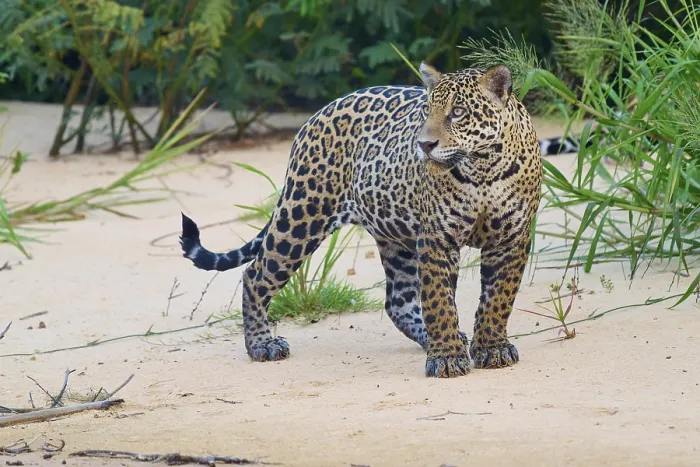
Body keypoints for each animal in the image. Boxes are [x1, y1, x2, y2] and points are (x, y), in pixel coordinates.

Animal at [179, 62, 542, 378]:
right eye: (427, 112)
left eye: (458, 112)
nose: (424, 144)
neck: (484, 169)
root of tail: (315, 116)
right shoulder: (438, 237)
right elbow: (439, 299)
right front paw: (447, 357)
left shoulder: (512, 238)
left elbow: (498, 297)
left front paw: (492, 348)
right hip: (302, 215)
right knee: (255, 274)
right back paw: (261, 344)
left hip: (395, 235)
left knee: (398, 300)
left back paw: (430, 336)